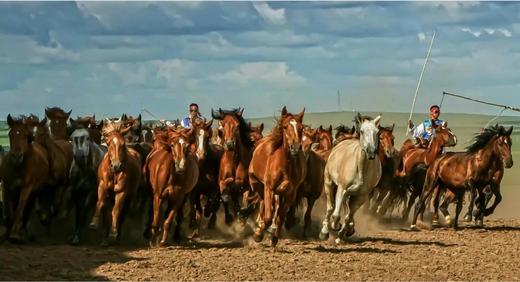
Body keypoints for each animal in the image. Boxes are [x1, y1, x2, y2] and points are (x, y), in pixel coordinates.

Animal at [0, 114, 49, 242]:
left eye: (27, 136)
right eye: (10, 134)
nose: (17, 156)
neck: (19, 169)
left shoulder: (27, 188)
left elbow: (19, 209)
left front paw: (14, 234)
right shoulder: (7, 187)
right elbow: (9, 209)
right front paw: (7, 231)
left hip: (34, 191)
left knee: (28, 207)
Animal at [249, 106, 306, 247]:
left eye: (301, 127)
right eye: (285, 127)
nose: (295, 148)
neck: (285, 165)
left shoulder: (290, 194)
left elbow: (280, 217)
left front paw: (274, 238)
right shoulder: (269, 188)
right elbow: (268, 217)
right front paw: (258, 235)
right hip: (256, 184)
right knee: (263, 203)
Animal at [316, 113, 382, 241]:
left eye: (377, 132)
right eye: (362, 131)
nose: (371, 152)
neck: (361, 169)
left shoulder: (361, 196)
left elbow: (348, 216)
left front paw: (341, 235)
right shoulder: (342, 189)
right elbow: (336, 214)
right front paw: (335, 226)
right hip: (329, 183)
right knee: (330, 207)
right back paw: (324, 232)